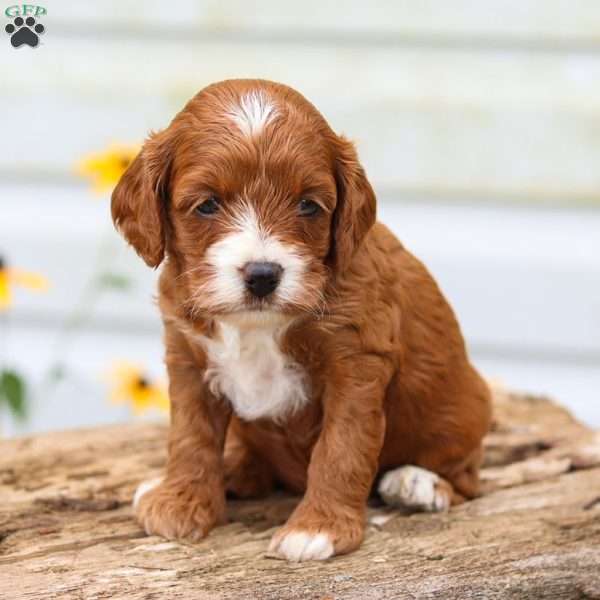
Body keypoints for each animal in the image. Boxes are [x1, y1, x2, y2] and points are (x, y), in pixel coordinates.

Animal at [112, 78, 492, 564]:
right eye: (207, 205)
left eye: (308, 206)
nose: (262, 275)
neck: (257, 324)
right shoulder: (187, 355)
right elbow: (190, 435)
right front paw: (180, 502)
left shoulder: (357, 363)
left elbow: (341, 448)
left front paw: (319, 527)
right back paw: (234, 469)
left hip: (466, 407)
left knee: (466, 476)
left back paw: (419, 484)